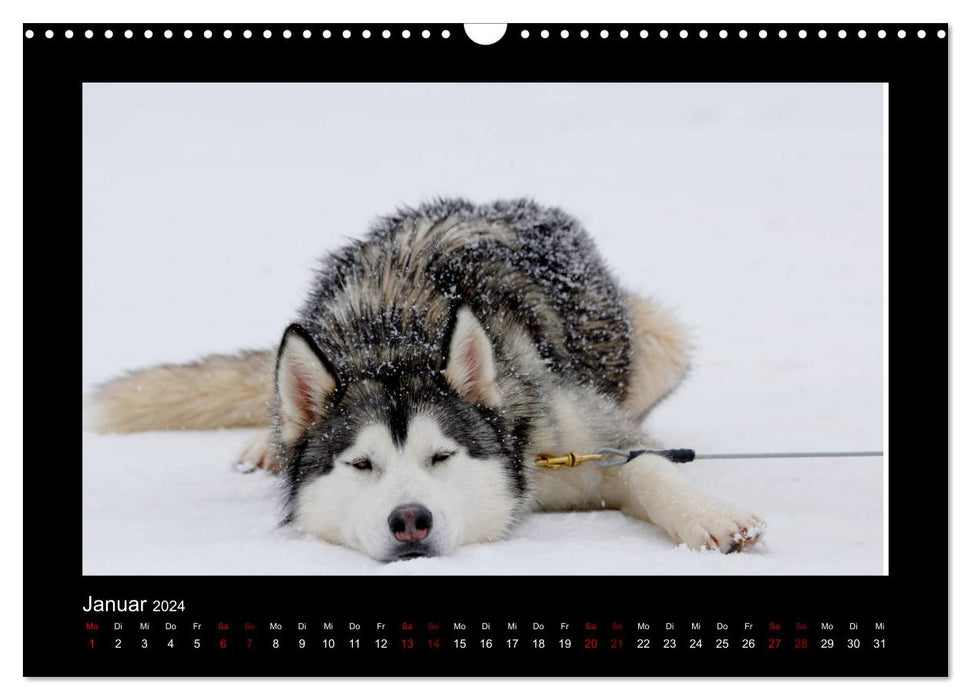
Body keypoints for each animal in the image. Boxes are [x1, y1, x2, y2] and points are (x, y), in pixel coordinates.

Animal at [87, 198, 764, 564]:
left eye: (442, 456)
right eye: (361, 465)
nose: (409, 520)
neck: (393, 331)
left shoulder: (573, 430)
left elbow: (643, 464)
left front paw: (707, 516)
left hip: (663, 341)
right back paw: (266, 443)